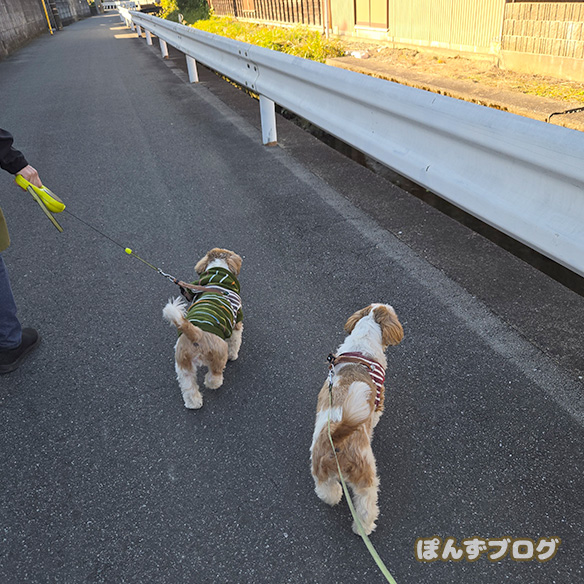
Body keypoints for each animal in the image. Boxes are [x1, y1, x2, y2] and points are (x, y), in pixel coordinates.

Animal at [162, 248, 243, 409]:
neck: (218, 276)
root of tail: (197, 334)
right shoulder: (237, 321)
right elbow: (235, 340)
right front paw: (234, 355)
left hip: (183, 365)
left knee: (188, 387)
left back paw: (194, 403)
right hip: (219, 354)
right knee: (214, 375)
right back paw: (214, 384)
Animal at [310, 303, 404, 535]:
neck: (361, 350)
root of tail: (337, 437)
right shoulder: (379, 399)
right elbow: (377, 415)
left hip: (320, 470)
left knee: (328, 491)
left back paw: (333, 498)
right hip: (366, 476)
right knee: (366, 506)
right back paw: (364, 528)